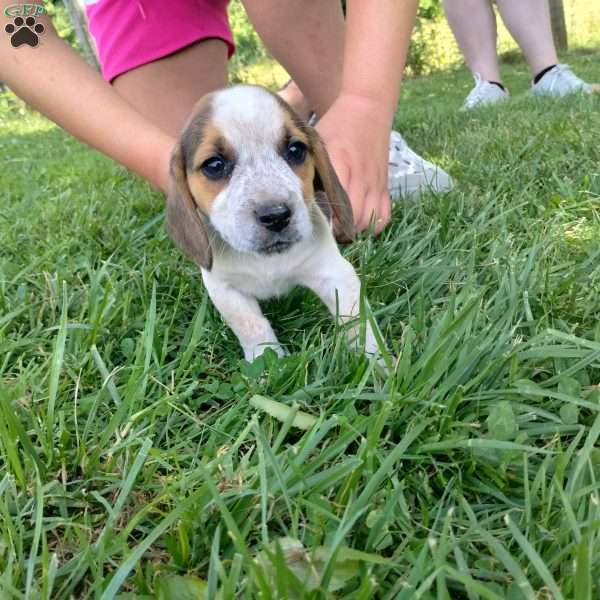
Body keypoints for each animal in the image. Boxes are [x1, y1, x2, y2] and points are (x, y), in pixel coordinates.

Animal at [166, 82, 378, 358]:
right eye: (214, 165)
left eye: (296, 150)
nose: (276, 216)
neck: (266, 261)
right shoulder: (223, 289)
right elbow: (252, 327)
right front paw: (267, 360)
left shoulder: (335, 274)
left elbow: (357, 322)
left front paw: (376, 361)